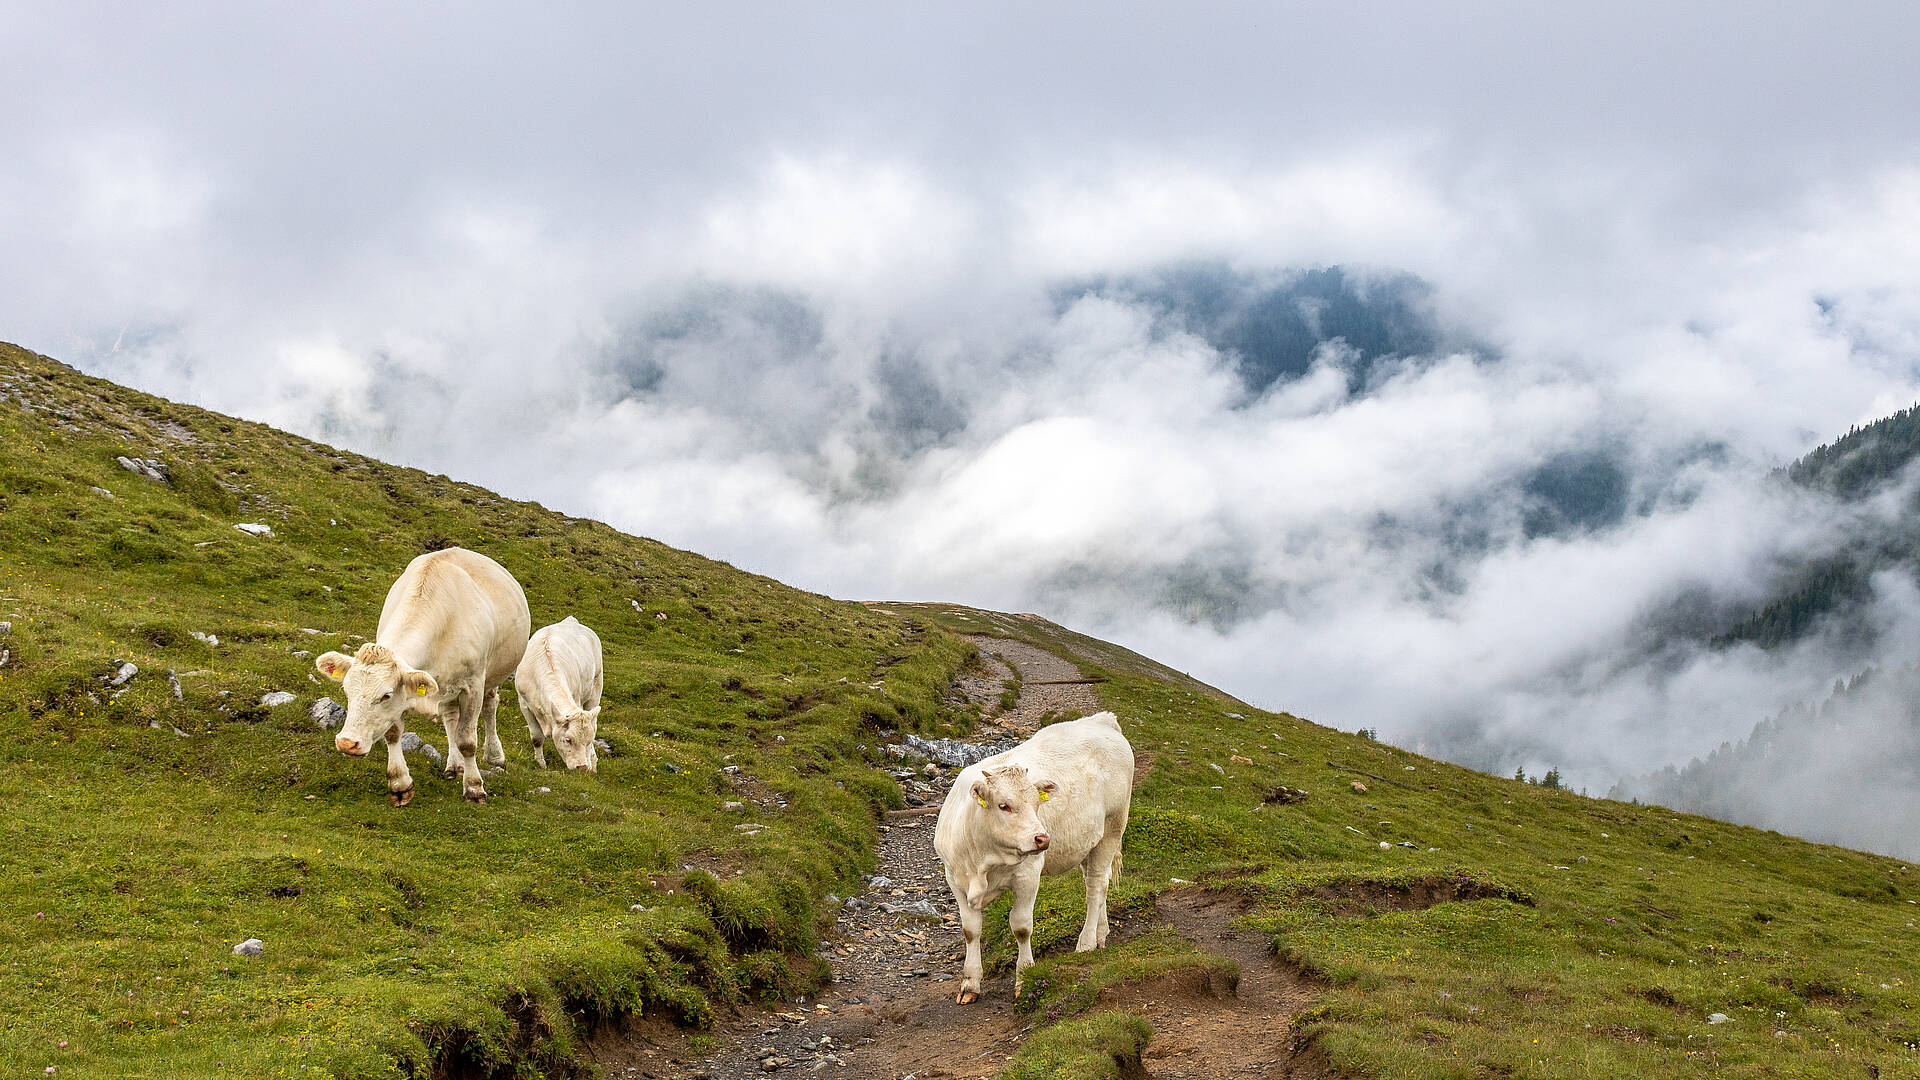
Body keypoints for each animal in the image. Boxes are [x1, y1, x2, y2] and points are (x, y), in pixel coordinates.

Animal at [312, 545, 529, 799]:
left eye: (385, 695)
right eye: (347, 691)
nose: (347, 743)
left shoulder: (473, 684)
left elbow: (467, 740)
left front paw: (474, 788)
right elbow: (393, 733)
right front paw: (400, 783)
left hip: (493, 674)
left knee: (490, 706)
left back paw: (495, 758)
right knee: (450, 716)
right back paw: (454, 766)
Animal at [514, 614, 602, 764]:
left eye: (587, 740)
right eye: (568, 739)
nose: (582, 766)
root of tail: (571, 621)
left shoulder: (576, 699)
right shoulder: (524, 704)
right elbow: (536, 738)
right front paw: (541, 763)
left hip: (596, 686)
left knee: (594, 723)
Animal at [933, 707, 1128, 999]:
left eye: (1037, 804)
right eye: (1003, 805)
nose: (1042, 838)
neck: (983, 859)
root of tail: (1101, 720)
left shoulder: (1027, 875)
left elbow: (1021, 927)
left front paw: (1024, 976)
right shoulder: (955, 879)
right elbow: (970, 930)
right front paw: (970, 982)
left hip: (1113, 828)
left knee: (1096, 887)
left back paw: (1086, 941)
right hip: (1087, 842)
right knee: (1097, 881)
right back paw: (1100, 934)